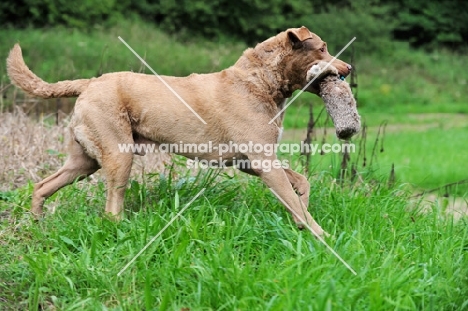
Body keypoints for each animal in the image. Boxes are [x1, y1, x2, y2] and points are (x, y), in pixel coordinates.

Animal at [7, 26, 352, 236]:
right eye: (323, 49)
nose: (349, 69)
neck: (262, 81)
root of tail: (89, 82)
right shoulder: (263, 162)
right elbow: (293, 197)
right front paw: (320, 234)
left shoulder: (251, 162)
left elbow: (301, 183)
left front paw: (301, 216)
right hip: (118, 155)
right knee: (111, 208)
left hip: (83, 160)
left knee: (42, 185)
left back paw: (36, 224)